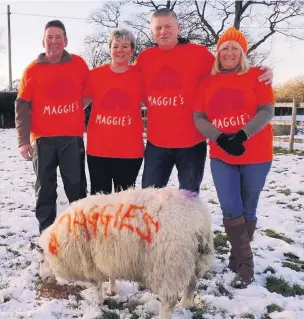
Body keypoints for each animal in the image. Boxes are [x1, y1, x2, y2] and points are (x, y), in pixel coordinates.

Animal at [38, 188, 214, 319]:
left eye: (41, 260)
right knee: (191, 285)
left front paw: (98, 301)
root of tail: (200, 223)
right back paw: (185, 304)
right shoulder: (109, 255)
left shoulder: (91, 261)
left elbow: (96, 284)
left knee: (168, 300)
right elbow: (111, 275)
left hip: (168, 265)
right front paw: (111, 291)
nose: (43, 278)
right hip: (195, 261)